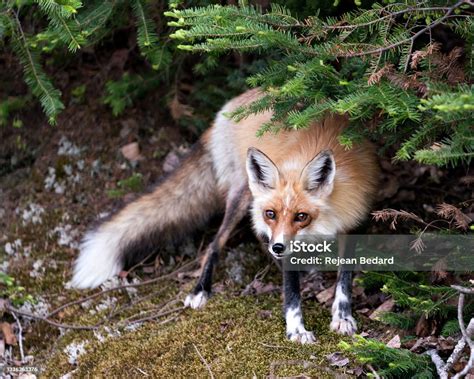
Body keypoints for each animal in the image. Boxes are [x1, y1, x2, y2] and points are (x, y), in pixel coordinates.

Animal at [71, 88, 378, 344]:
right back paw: (200, 290)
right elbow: (292, 295)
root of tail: (232, 105)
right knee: (215, 243)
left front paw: (342, 317)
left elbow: (344, 281)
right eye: (272, 213)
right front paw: (296, 330)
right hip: (242, 196)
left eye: (301, 216)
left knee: (255, 236)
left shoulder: (351, 223)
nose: (280, 247)